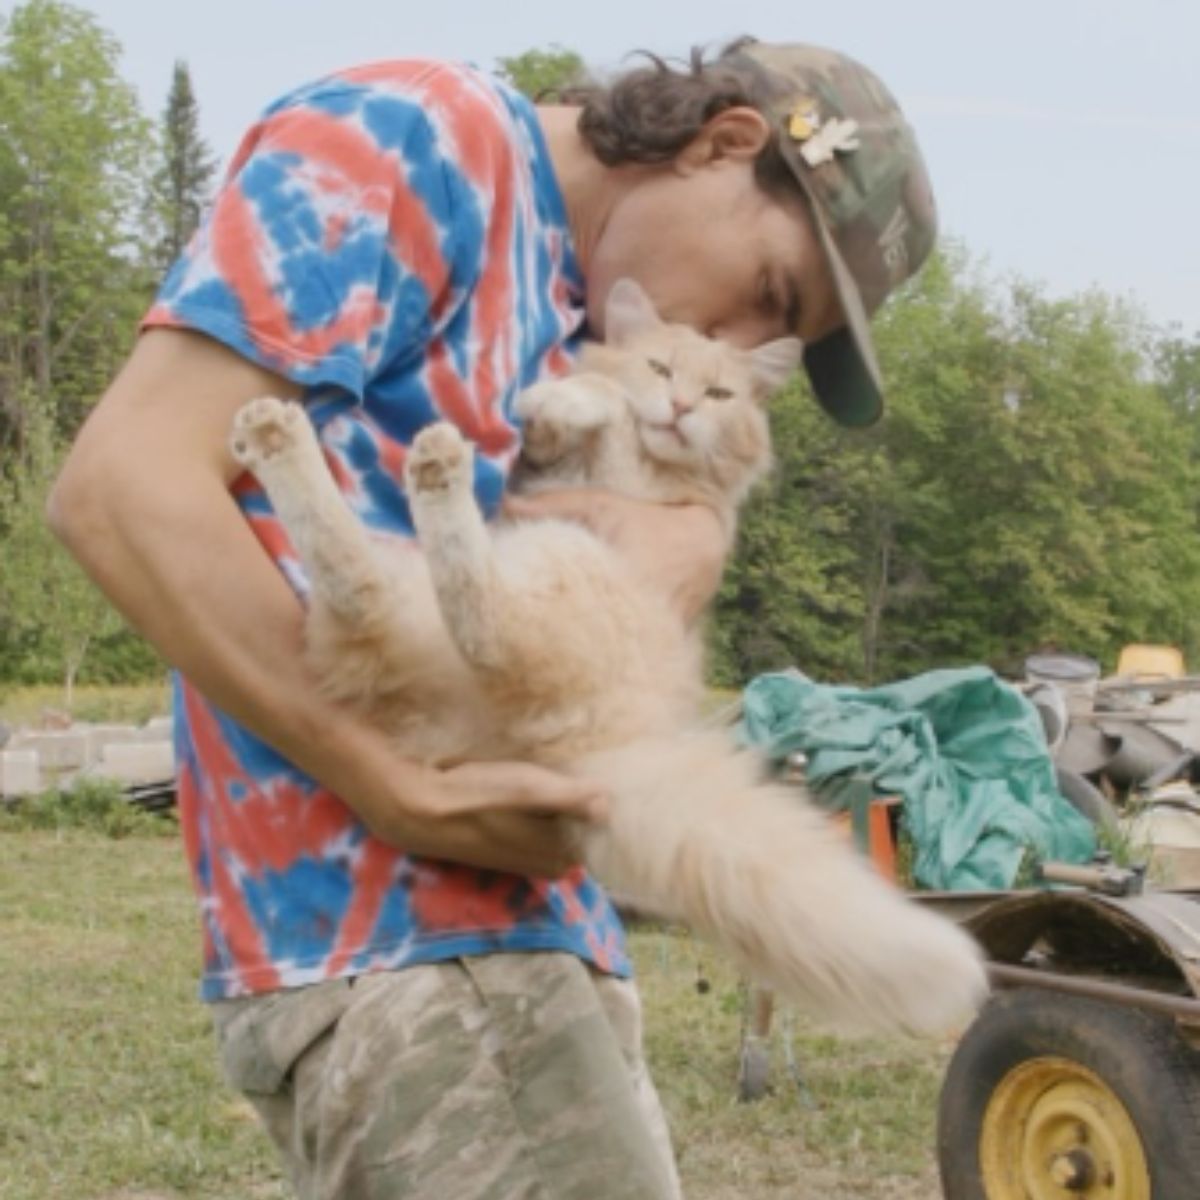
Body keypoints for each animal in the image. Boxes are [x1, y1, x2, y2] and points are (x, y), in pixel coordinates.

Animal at [229, 278, 988, 1032]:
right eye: (661, 369)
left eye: (719, 394)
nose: (681, 409)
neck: (644, 464)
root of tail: (602, 752)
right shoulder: (550, 465)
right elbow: (596, 401)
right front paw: (569, 398)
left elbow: (604, 408)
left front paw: (575, 401)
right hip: (435, 591)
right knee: (369, 587)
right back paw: (286, 438)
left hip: (550, 568)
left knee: (465, 615)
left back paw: (419, 467)